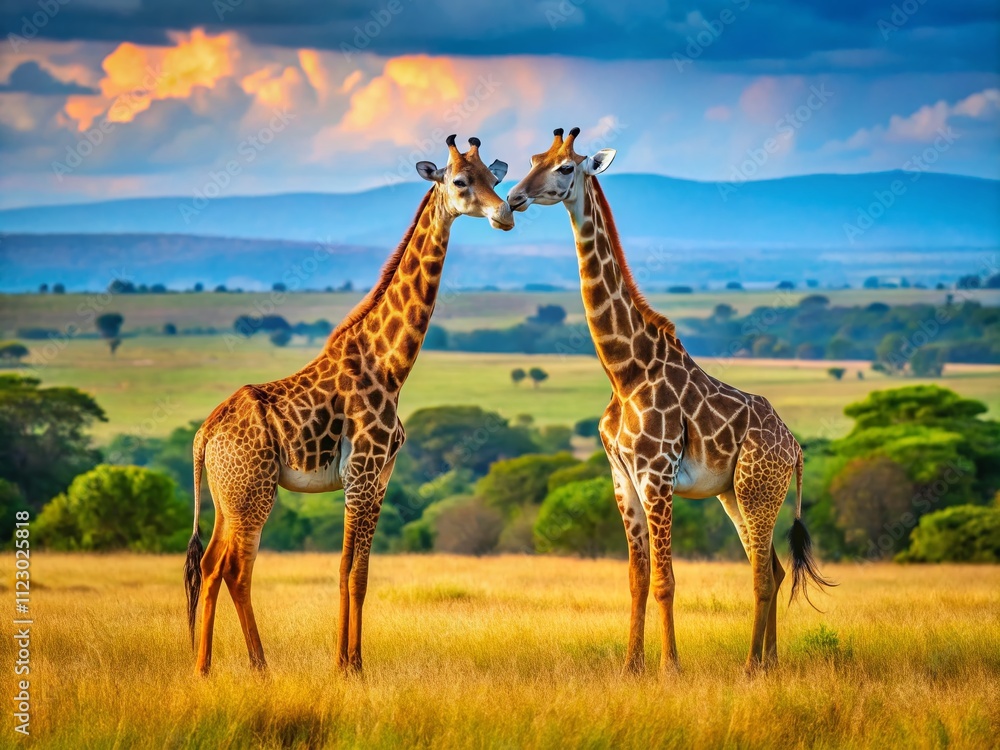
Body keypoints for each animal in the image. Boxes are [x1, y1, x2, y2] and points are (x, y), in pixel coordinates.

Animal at [183, 135, 513, 675]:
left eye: (495, 178)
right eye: (461, 181)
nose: (505, 214)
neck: (390, 365)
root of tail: (204, 433)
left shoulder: (381, 476)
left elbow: (361, 572)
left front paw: (357, 663)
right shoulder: (359, 472)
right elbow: (342, 566)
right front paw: (342, 665)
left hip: (226, 496)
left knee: (210, 566)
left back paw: (211, 667)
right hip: (253, 492)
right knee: (235, 569)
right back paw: (250, 667)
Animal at [506, 128, 833, 675]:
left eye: (566, 167)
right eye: (533, 158)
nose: (513, 197)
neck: (624, 370)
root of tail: (795, 449)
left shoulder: (656, 473)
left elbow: (665, 581)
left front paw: (670, 668)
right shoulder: (622, 476)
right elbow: (637, 579)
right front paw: (631, 666)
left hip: (757, 489)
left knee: (762, 575)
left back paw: (751, 667)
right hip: (734, 494)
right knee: (775, 569)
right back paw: (769, 663)